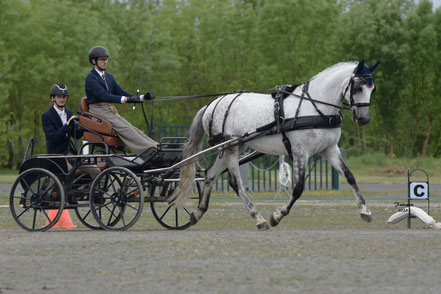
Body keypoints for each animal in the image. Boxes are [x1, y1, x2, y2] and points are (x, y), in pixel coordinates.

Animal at [170, 59, 376, 230]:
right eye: (358, 87)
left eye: (372, 89)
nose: (364, 119)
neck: (315, 106)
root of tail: (211, 105)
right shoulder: (300, 152)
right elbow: (298, 188)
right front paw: (277, 216)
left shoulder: (330, 149)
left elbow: (350, 177)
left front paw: (365, 210)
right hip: (231, 149)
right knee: (236, 183)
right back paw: (259, 218)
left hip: (232, 147)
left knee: (210, 175)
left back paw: (198, 212)